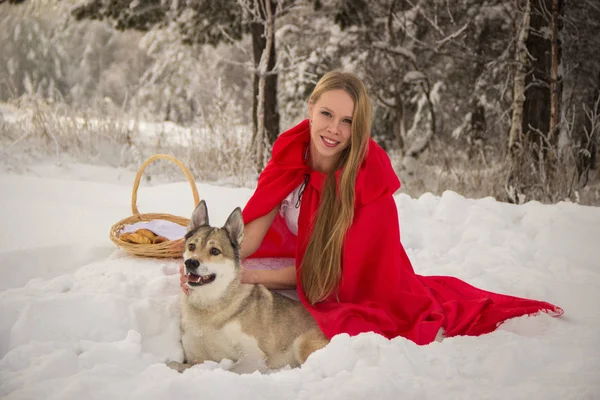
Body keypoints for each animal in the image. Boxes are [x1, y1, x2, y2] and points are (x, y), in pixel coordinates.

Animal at [168, 202, 328, 374]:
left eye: (215, 251)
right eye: (192, 246)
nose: (190, 262)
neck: (209, 305)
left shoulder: (253, 356)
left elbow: (229, 370)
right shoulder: (197, 358)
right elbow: (173, 364)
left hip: (302, 345)